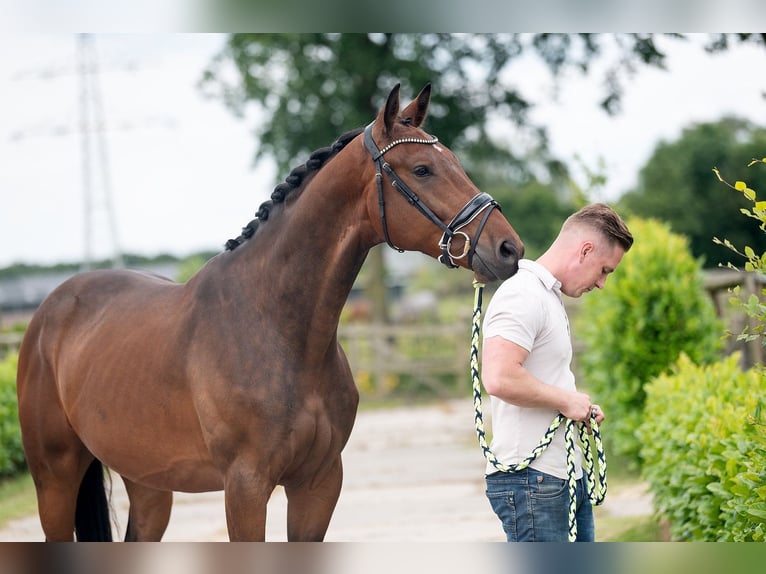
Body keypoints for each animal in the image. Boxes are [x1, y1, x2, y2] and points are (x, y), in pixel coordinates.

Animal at [16, 83, 520, 544]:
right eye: (422, 169)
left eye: (454, 161)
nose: (508, 248)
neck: (278, 329)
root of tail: (49, 313)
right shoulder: (245, 487)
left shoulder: (318, 483)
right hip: (55, 479)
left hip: (147, 483)